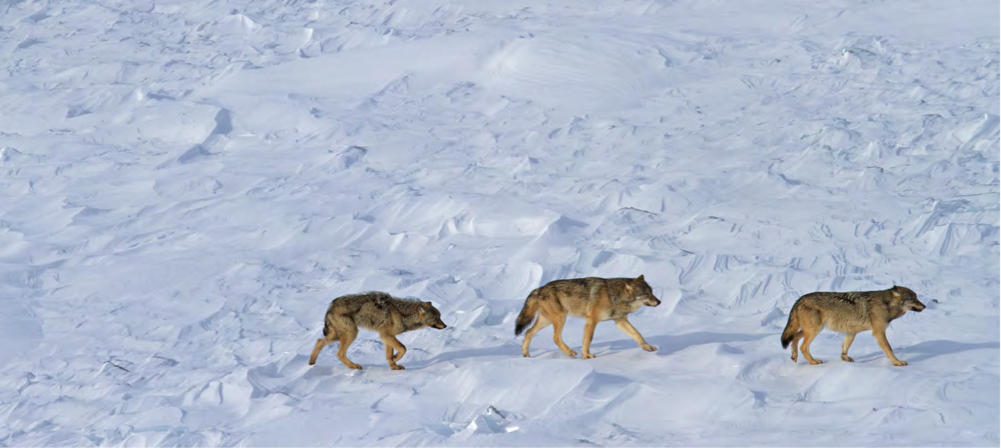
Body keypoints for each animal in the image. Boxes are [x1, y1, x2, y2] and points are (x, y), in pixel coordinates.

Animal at [307, 291, 447, 370]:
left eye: (440, 317)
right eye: (437, 318)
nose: (445, 326)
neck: (403, 314)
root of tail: (330, 306)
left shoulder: (387, 336)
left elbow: (389, 354)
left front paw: (394, 365)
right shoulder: (385, 335)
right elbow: (403, 348)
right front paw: (395, 359)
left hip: (338, 335)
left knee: (319, 341)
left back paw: (311, 363)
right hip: (351, 333)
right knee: (339, 353)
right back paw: (354, 366)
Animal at [514, 275, 662, 359]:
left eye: (652, 292)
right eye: (647, 294)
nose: (659, 302)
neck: (614, 296)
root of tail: (539, 288)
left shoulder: (620, 321)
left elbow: (638, 334)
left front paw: (647, 347)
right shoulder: (592, 320)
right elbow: (588, 339)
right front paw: (586, 355)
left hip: (547, 321)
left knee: (528, 332)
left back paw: (526, 354)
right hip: (560, 318)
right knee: (555, 337)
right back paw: (570, 352)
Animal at [780, 285, 925, 366]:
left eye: (917, 297)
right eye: (914, 299)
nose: (924, 306)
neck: (886, 304)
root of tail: (799, 299)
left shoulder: (851, 331)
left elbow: (845, 347)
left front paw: (844, 359)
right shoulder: (879, 332)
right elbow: (889, 350)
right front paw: (897, 362)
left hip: (812, 329)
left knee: (794, 338)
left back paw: (794, 356)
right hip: (814, 330)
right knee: (803, 346)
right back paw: (813, 362)